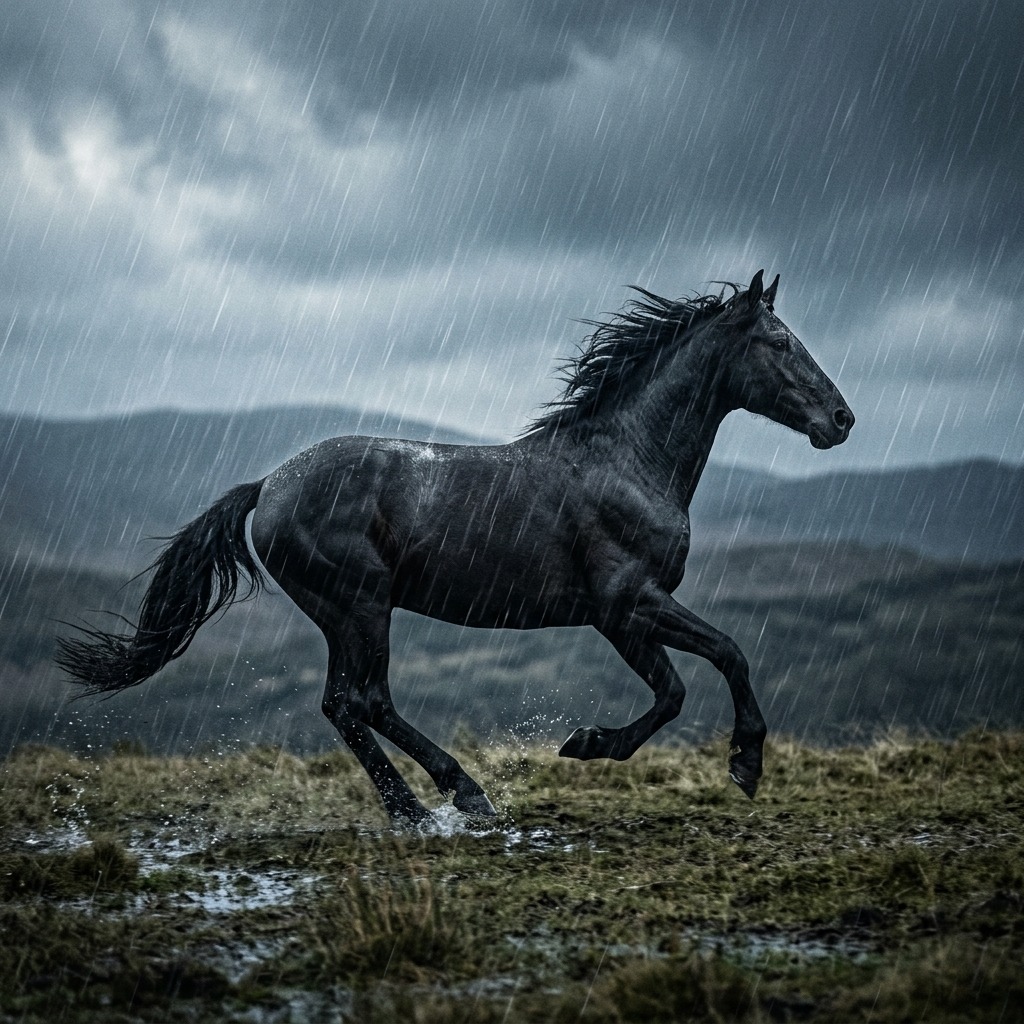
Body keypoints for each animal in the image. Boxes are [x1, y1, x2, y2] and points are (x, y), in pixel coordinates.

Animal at [57, 270, 854, 822]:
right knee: (367, 700)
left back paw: (414, 810)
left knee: (342, 705)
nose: (842, 419)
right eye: (780, 343)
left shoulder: (630, 612)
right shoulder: (625, 606)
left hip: (341, 613)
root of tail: (267, 487)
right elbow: (703, 671)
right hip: (361, 603)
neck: (627, 462)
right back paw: (463, 795)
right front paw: (721, 760)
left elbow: (695, 675)